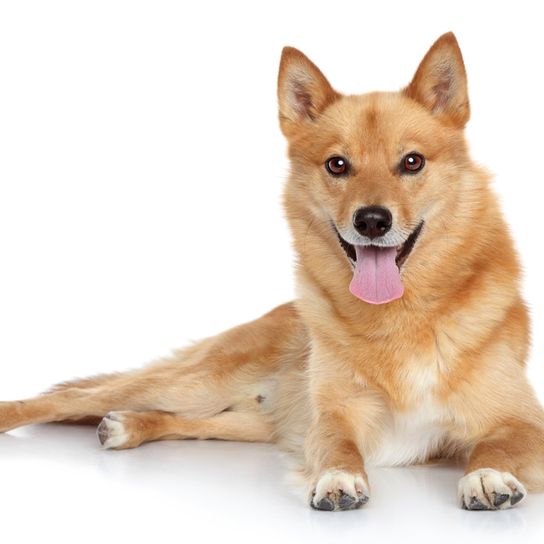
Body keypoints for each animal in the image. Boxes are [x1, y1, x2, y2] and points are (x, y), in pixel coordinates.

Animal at [1, 33, 544, 510]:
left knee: (185, 420)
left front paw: (487, 475)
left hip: (247, 420)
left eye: (412, 162)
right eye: (337, 165)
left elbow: (494, 445)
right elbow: (337, 446)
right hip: (202, 382)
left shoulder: (524, 423)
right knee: (76, 396)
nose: (372, 220)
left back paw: (129, 426)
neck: (401, 318)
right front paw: (338, 478)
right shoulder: (332, 416)